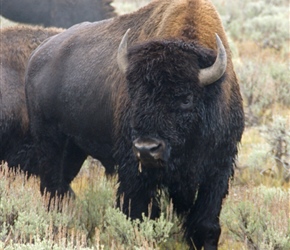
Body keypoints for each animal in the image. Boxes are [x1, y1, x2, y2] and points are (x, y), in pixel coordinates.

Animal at [25, 0, 245, 249]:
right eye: (135, 93)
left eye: (186, 98)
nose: (147, 148)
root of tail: (36, 57)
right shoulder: (134, 170)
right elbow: (137, 213)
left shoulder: (218, 170)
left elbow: (206, 225)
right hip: (50, 142)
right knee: (51, 188)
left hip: (74, 150)